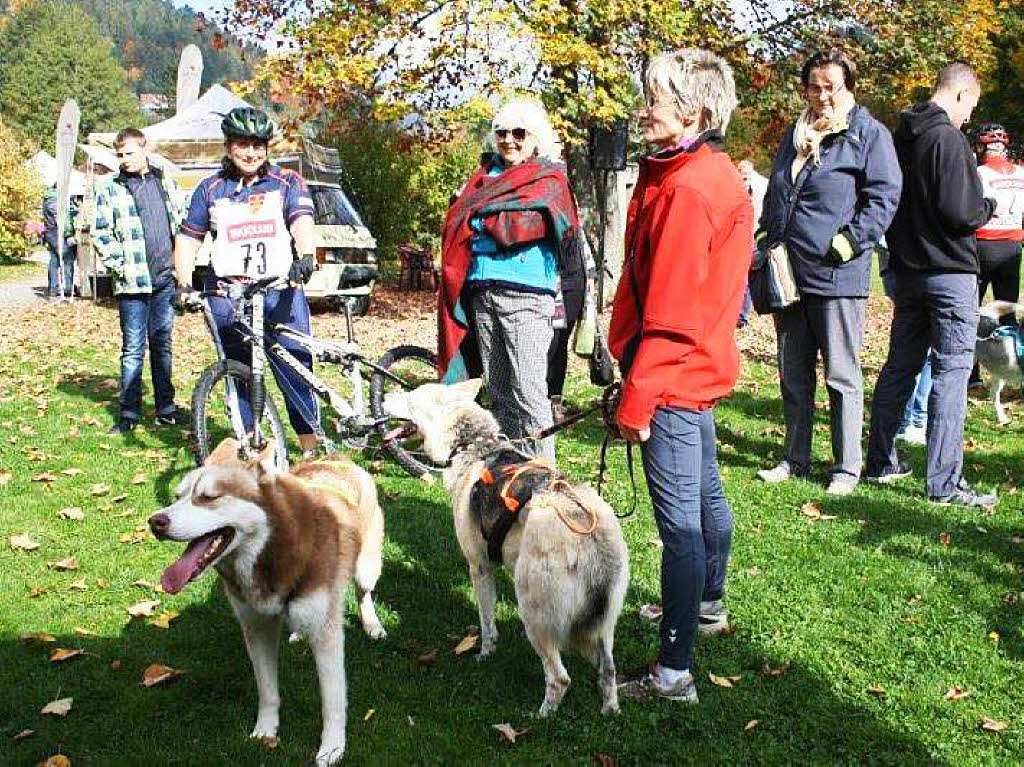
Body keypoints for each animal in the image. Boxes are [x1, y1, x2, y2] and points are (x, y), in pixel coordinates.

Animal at [145, 436, 385, 765]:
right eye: (178, 496)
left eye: (208, 497)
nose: (155, 522)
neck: (275, 551)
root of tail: (336, 458)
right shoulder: (256, 627)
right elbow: (268, 690)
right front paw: (266, 730)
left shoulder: (328, 638)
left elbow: (332, 702)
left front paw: (332, 748)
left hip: (366, 568)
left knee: (364, 593)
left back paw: (372, 624)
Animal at [380, 380, 626, 716]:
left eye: (411, 398)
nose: (382, 398)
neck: (474, 445)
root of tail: (590, 533)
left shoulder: (479, 568)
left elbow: (487, 624)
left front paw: (484, 653)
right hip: (602, 629)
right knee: (609, 671)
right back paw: (609, 711)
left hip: (533, 616)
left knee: (559, 678)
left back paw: (542, 716)